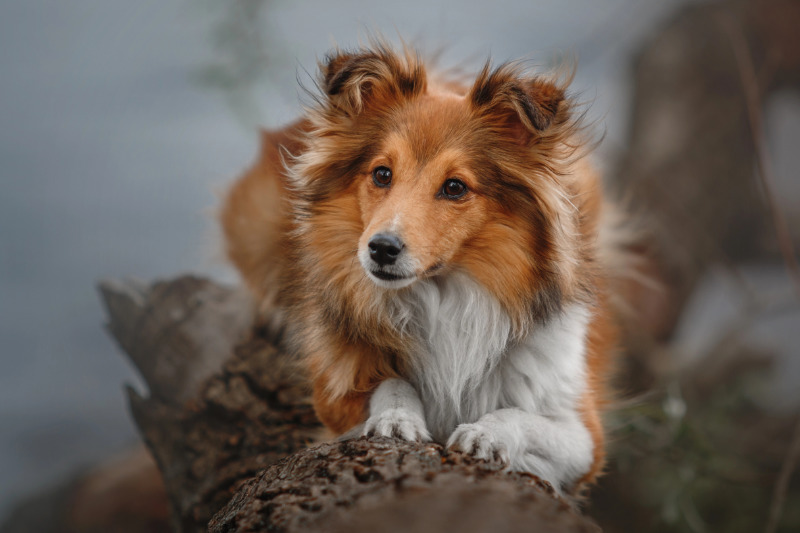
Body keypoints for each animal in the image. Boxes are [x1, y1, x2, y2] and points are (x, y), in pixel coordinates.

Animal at [222, 42, 620, 494]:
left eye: (455, 187)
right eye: (382, 173)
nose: (380, 249)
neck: (446, 296)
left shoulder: (583, 436)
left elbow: (524, 418)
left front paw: (486, 433)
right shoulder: (334, 393)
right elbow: (389, 382)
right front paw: (397, 417)